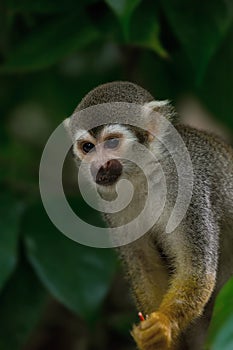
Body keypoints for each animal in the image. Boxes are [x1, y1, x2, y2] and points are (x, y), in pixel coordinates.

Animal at [63, 81, 233, 350]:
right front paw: (155, 342)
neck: (144, 173)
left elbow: (197, 269)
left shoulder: (186, 184)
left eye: (111, 143)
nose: (98, 166)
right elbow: (145, 267)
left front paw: (162, 324)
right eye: (87, 147)